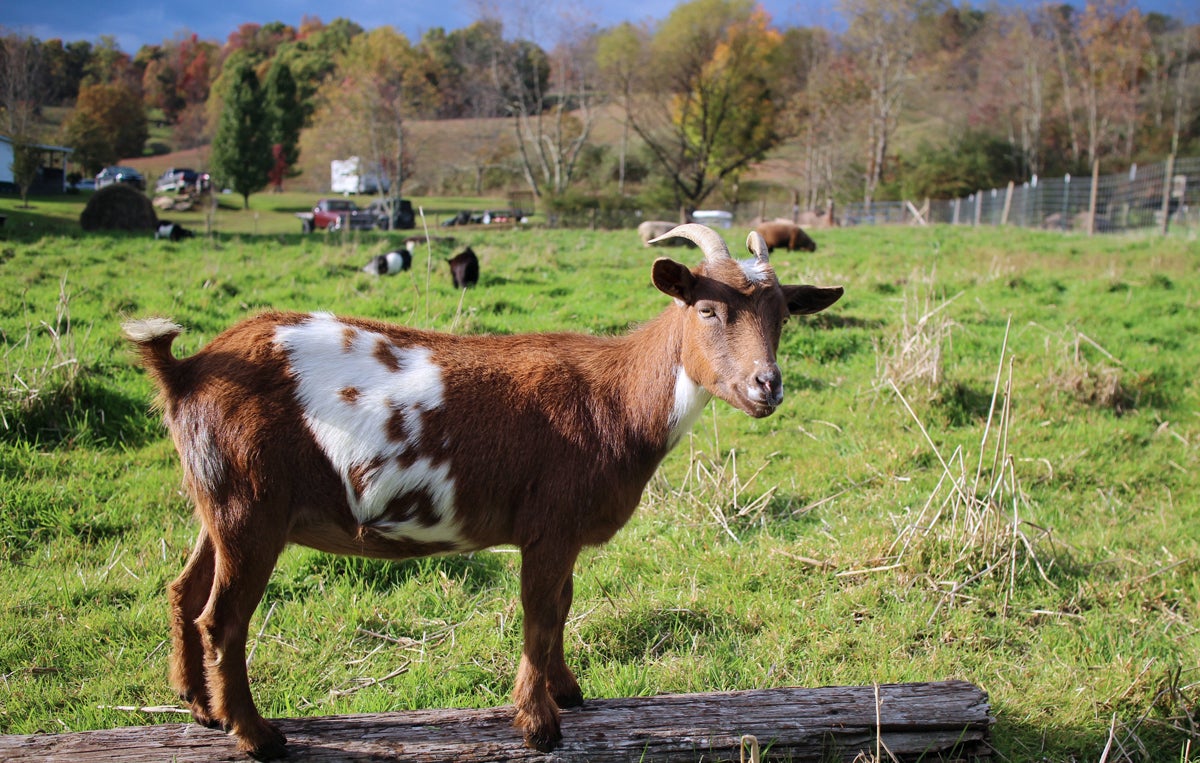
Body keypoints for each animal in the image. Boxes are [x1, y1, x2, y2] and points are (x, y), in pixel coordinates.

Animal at [117, 223, 840, 758]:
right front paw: (539, 726)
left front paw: (568, 692)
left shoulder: (559, 533)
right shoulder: (549, 524)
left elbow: (562, 610)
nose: (766, 386)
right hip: (251, 507)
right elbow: (540, 615)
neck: (616, 397)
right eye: (709, 308)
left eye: (783, 315)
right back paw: (257, 736)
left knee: (184, 590)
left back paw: (201, 709)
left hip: (217, 501)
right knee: (223, 617)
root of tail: (185, 371)